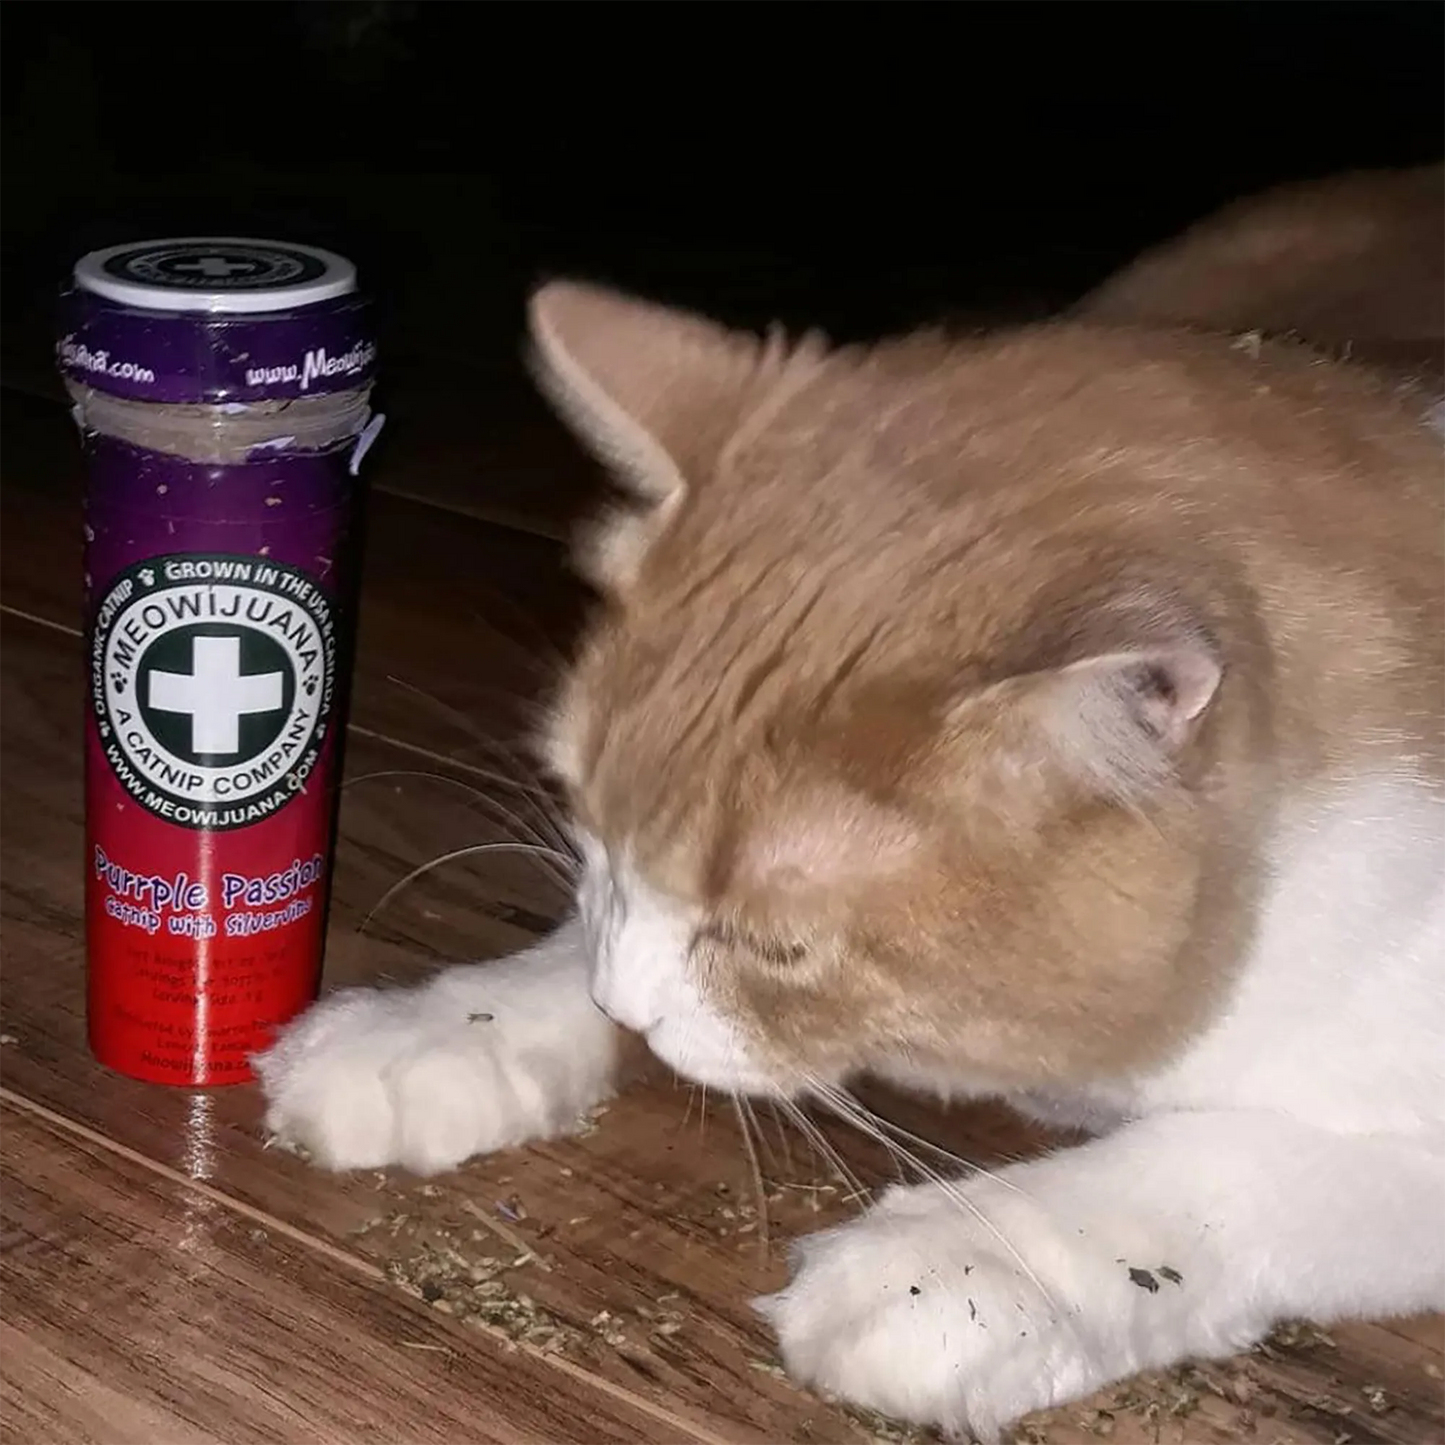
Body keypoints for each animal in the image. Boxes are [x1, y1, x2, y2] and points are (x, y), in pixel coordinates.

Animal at [254, 174, 1445, 1439]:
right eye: (584, 815)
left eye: (778, 945)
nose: (622, 1009)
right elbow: (583, 936)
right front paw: (448, 1024)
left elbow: (1209, 1162)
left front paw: (968, 1261)